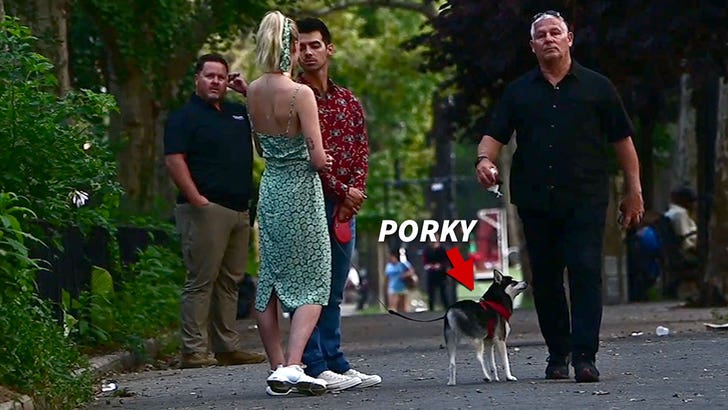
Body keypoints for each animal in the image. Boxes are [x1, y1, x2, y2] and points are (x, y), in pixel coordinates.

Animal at [390, 270, 528, 386]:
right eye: (514, 282)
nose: (526, 282)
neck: (496, 303)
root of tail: (451, 310)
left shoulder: (489, 341)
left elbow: (492, 364)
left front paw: (496, 377)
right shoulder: (500, 340)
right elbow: (505, 362)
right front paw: (509, 377)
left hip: (451, 341)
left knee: (452, 363)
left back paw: (452, 382)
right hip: (476, 339)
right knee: (478, 358)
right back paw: (486, 377)